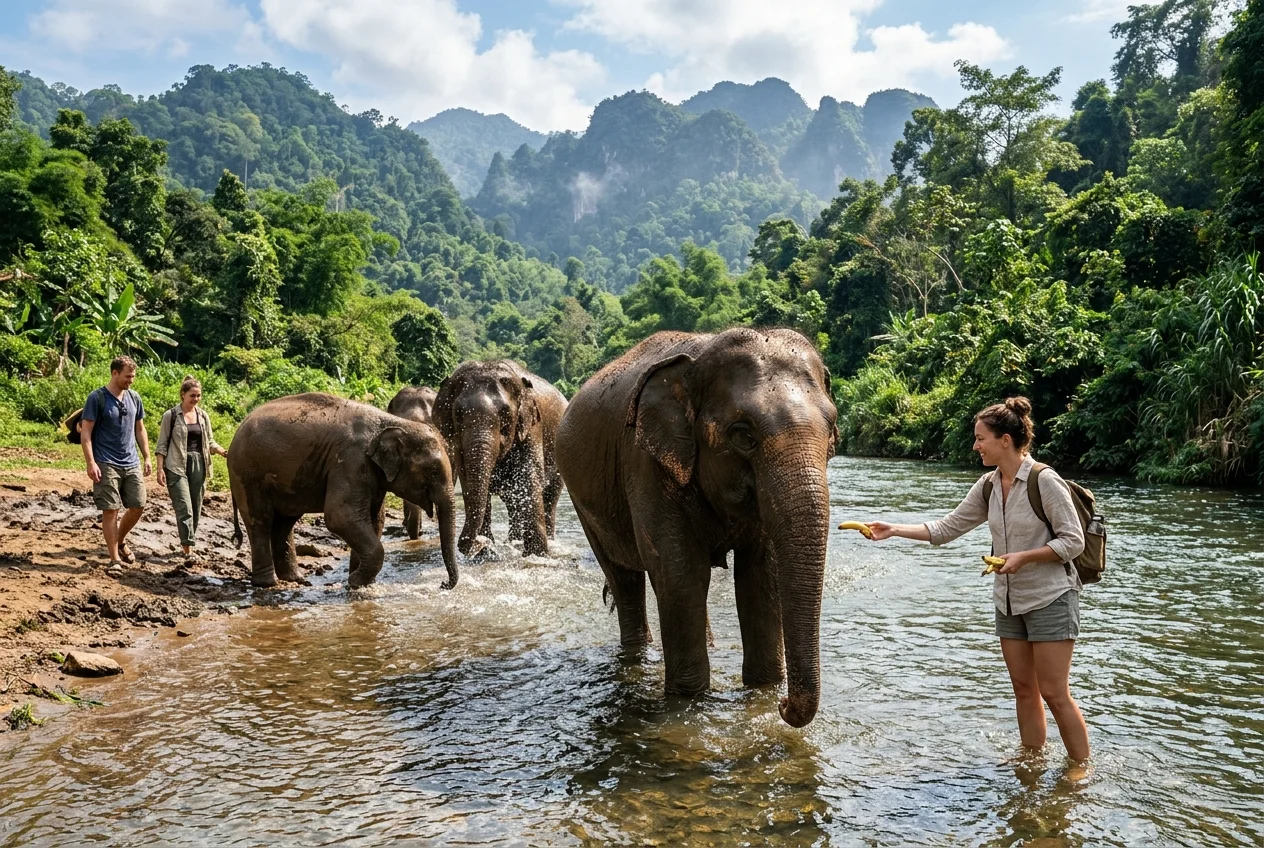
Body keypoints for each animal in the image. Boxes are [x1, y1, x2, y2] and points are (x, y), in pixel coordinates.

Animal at [432, 360, 567, 558]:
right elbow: (469, 482)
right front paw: (486, 553)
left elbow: (529, 478)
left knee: (549, 499)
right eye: (458, 413)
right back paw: (512, 543)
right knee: (513, 503)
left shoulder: (531, 427)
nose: (479, 542)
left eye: (505, 413)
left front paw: (538, 556)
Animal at [555, 328, 838, 728]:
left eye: (831, 430)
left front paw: (764, 691)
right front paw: (688, 700)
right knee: (625, 579)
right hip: (583, 500)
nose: (784, 706)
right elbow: (681, 573)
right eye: (743, 435)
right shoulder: (645, 463)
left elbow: (760, 577)